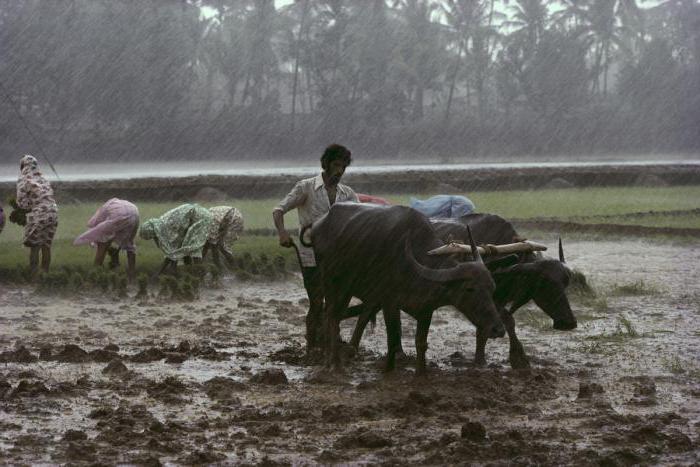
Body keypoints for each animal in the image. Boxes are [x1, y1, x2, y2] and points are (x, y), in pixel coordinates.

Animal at [310, 204, 504, 372]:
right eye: (469, 289)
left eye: (492, 288)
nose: (498, 329)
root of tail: (319, 224)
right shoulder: (389, 303)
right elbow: (393, 338)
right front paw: (388, 370)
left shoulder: (426, 309)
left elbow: (421, 343)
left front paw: (421, 373)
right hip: (332, 284)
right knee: (331, 317)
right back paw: (333, 363)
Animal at [348, 214, 576, 372]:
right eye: (545, 284)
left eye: (565, 283)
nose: (569, 322)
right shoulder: (491, 300)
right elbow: (507, 322)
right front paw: (518, 358)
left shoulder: (493, 299)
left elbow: (488, 328)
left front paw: (481, 359)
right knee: (366, 314)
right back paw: (355, 348)